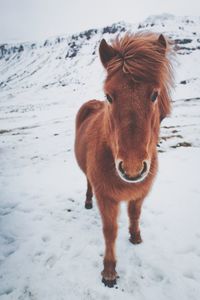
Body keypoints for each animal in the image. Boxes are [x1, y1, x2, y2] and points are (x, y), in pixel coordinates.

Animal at [74, 31, 173, 288]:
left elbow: (135, 215)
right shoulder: (106, 197)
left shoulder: (140, 192)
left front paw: (136, 237)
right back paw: (87, 202)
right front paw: (109, 271)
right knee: (87, 183)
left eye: (154, 94)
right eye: (109, 96)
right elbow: (110, 231)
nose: (132, 168)